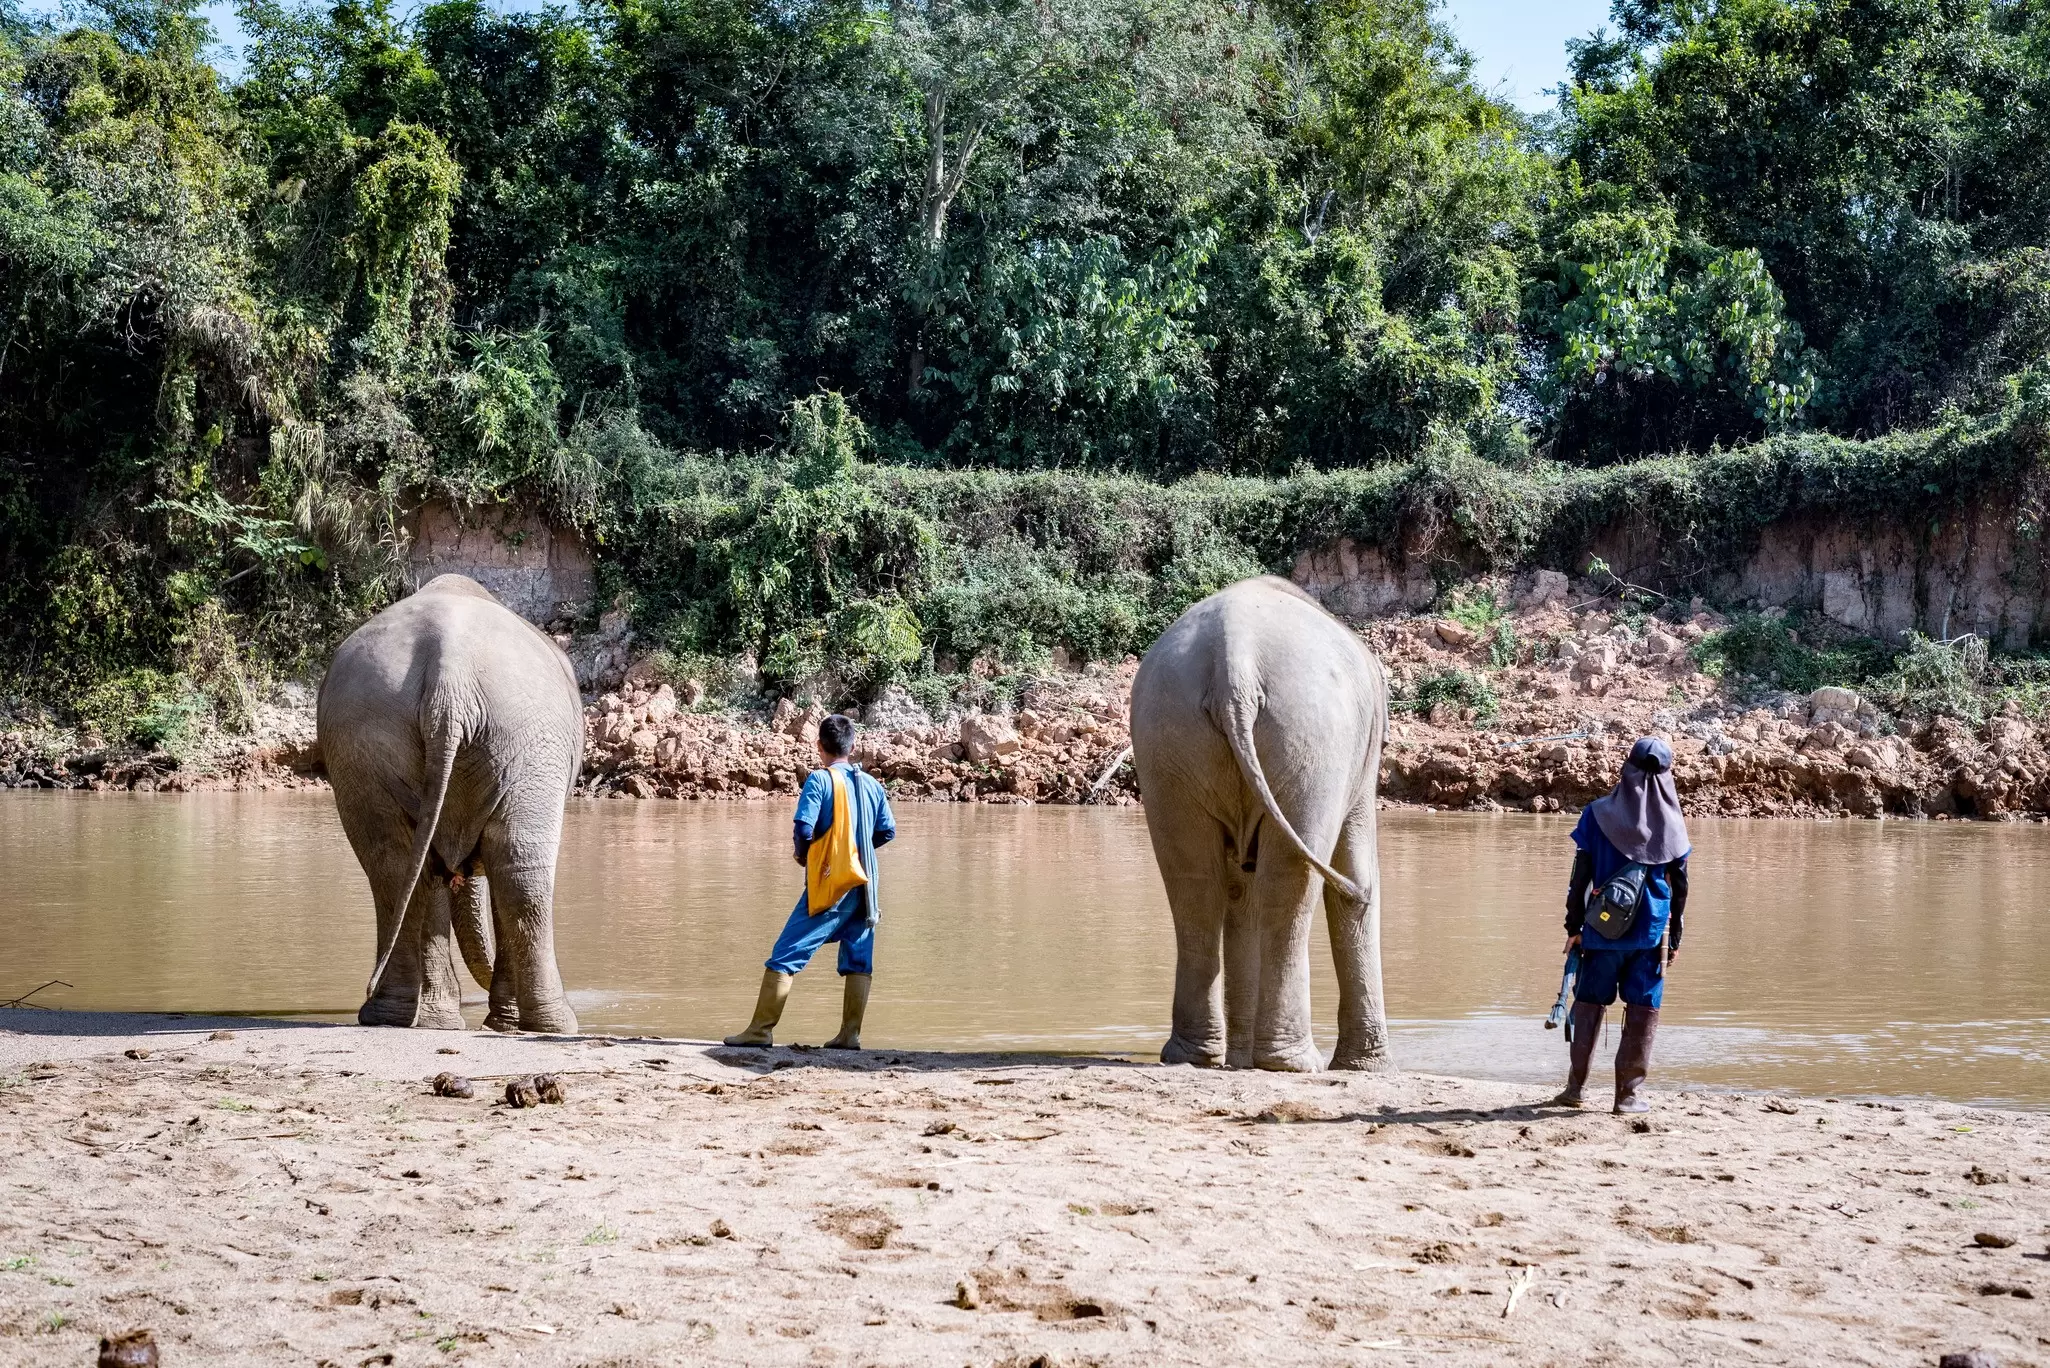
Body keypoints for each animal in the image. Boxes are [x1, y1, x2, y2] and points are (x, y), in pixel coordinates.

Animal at [317, 573, 583, 1033]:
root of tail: (450, 674)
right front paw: (502, 1023)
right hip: (529, 738)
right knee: (517, 865)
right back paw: (553, 1025)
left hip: (364, 740)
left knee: (394, 866)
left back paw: (396, 1018)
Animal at [1130, 576, 1390, 1072]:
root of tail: (1235, 658)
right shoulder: (1360, 767)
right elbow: (1355, 882)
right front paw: (1370, 1070)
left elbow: (1239, 891)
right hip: (1312, 741)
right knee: (1290, 885)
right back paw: (1295, 1063)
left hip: (1167, 740)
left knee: (1194, 883)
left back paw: (1194, 1056)